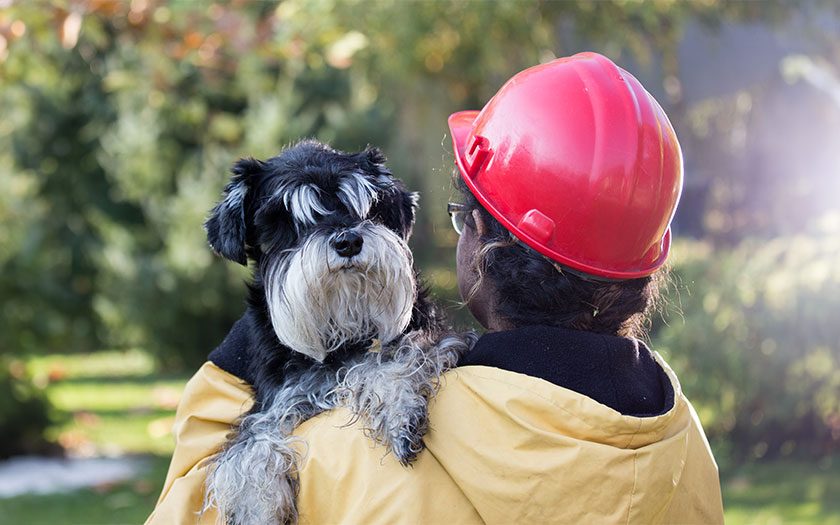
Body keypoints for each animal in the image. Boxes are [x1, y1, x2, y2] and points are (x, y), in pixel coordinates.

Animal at [199, 140, 472, 524]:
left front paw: (398, 409)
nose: (348, 241)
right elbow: (250, 444)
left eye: (368, 206)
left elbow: (390, 358)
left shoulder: (436, 338)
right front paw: (256, 507)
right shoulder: (283, 396)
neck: (342, 327)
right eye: (286, 219)